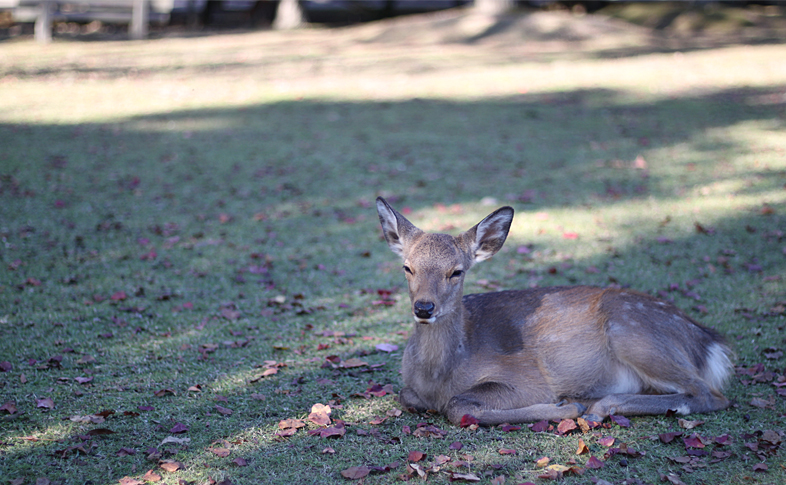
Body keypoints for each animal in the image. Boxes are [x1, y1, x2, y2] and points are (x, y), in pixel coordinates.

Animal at [376, 197, 732, 424]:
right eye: (407, 267)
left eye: (456, 271)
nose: (424, 307)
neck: (438, 378)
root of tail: (709, 342)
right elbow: (406, 395)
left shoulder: (528, 378)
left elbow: (458, 405)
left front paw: (566, 408)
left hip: (633, 331)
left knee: (710, 394)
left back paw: (597, 406)